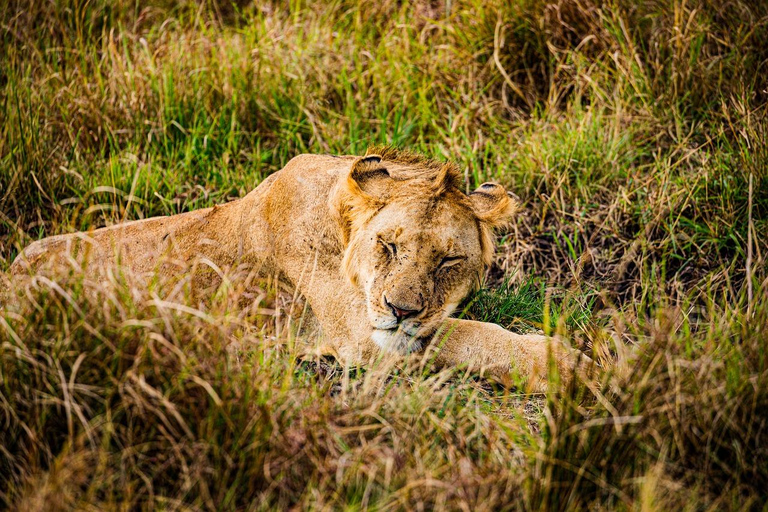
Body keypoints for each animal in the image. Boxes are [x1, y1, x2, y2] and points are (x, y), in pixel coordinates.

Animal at [10, 148, 588, 392]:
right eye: (388, 245)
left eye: (448, 260)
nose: (400, 310)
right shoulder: (361, 337)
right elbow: (473, 335)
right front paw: (571, 364)